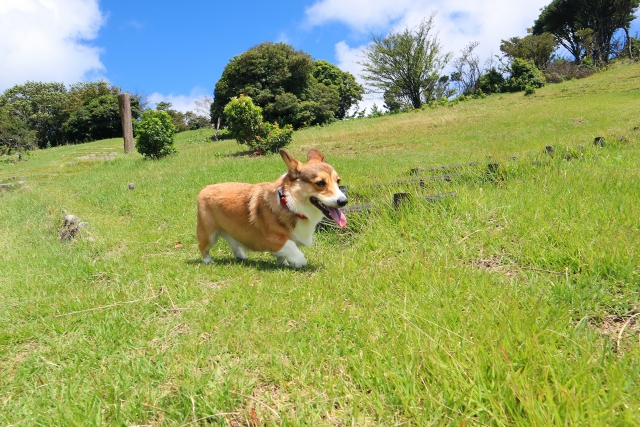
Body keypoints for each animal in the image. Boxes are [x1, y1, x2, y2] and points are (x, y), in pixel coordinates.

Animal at [198, 147, 348, 268]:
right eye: (320, 183)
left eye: (338, 181)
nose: (344, 201)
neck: (289, 203)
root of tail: (204, 189)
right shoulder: (267, 239)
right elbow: (290, 245)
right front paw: (299, 261)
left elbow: (283, 254)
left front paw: (283, 263)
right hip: (208, 233)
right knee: (203, 248)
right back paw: (208, 261)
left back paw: (240, 256)